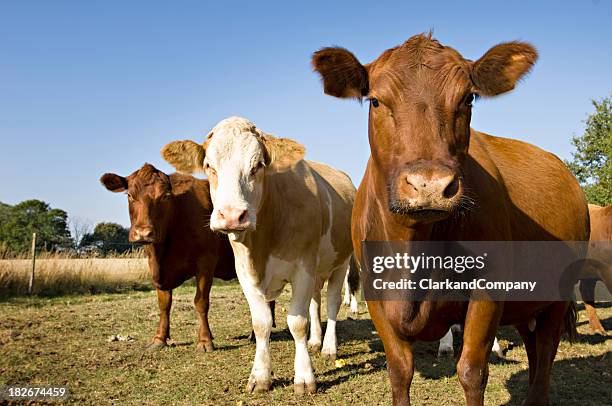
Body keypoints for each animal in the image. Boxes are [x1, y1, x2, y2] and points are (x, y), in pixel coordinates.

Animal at [101, 163, 274, 350]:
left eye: (165, 197)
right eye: (130, 195)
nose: (143, 233)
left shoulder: (205, 263)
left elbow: (201, 301)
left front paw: (205, 340)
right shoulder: (159, 270)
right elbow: (164, 304)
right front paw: (159, 339)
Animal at [160, 116, 356, 394]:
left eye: (258, 165)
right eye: (209, 166)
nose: (232, 216)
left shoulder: (303, 268)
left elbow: (297, 322)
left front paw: (304, 377)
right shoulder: (245, 273)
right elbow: (261, 323)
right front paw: (260, 376)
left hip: (341, 262)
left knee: (331, 302)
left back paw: (328, 347)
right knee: (316, 302)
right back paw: (316, 341)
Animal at [314, 33, 592, 404]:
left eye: (468, 98)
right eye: (375, 101)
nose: (429, 185)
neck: (415, 250)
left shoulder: (489, 289)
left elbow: (472, 371)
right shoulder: (376, 296)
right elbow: (399, 371)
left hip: (558, 294)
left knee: (546, 348)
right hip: (527, 302)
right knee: (533, 346)